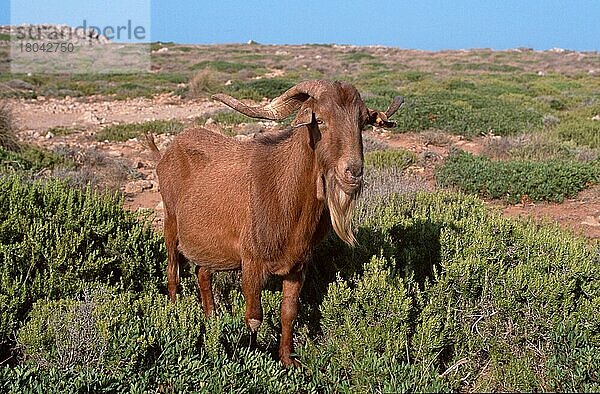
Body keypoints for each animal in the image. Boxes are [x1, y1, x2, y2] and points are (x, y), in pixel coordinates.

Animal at [149, 80, 404, 366]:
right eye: (321, 120)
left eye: (361, 122)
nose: (353, 172)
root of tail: (167, 151)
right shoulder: (251, 262)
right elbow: (254, 317)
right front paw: (253, 355)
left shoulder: (298, 265)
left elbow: (288, 313)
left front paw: (288, 361)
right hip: (170, 223)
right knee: (173, 274)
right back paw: (175, 314)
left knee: (202, 273)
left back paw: (211, 318)